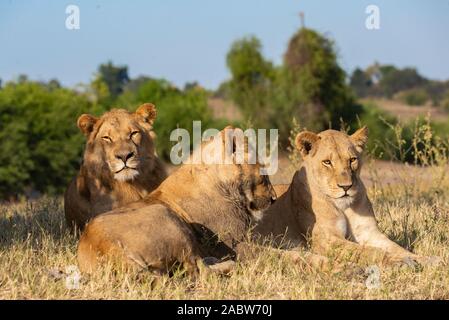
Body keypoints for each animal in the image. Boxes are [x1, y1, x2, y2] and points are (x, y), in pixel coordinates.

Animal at [77, 127, 276, 276]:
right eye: (263, 171)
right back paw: (227, 265)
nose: (274, 198)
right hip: (166, 216)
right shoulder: (232, 242)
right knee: (198, 270)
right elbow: (271, 253)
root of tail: (105, 246)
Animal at [256, 128, 438, 268]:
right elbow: (369, 251)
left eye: (352, 160)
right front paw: (400, 261)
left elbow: (396, 247)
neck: (343, 207)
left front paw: (425, 259)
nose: (346, 187)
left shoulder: (369, 232)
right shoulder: (327, 240)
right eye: (327, 162)